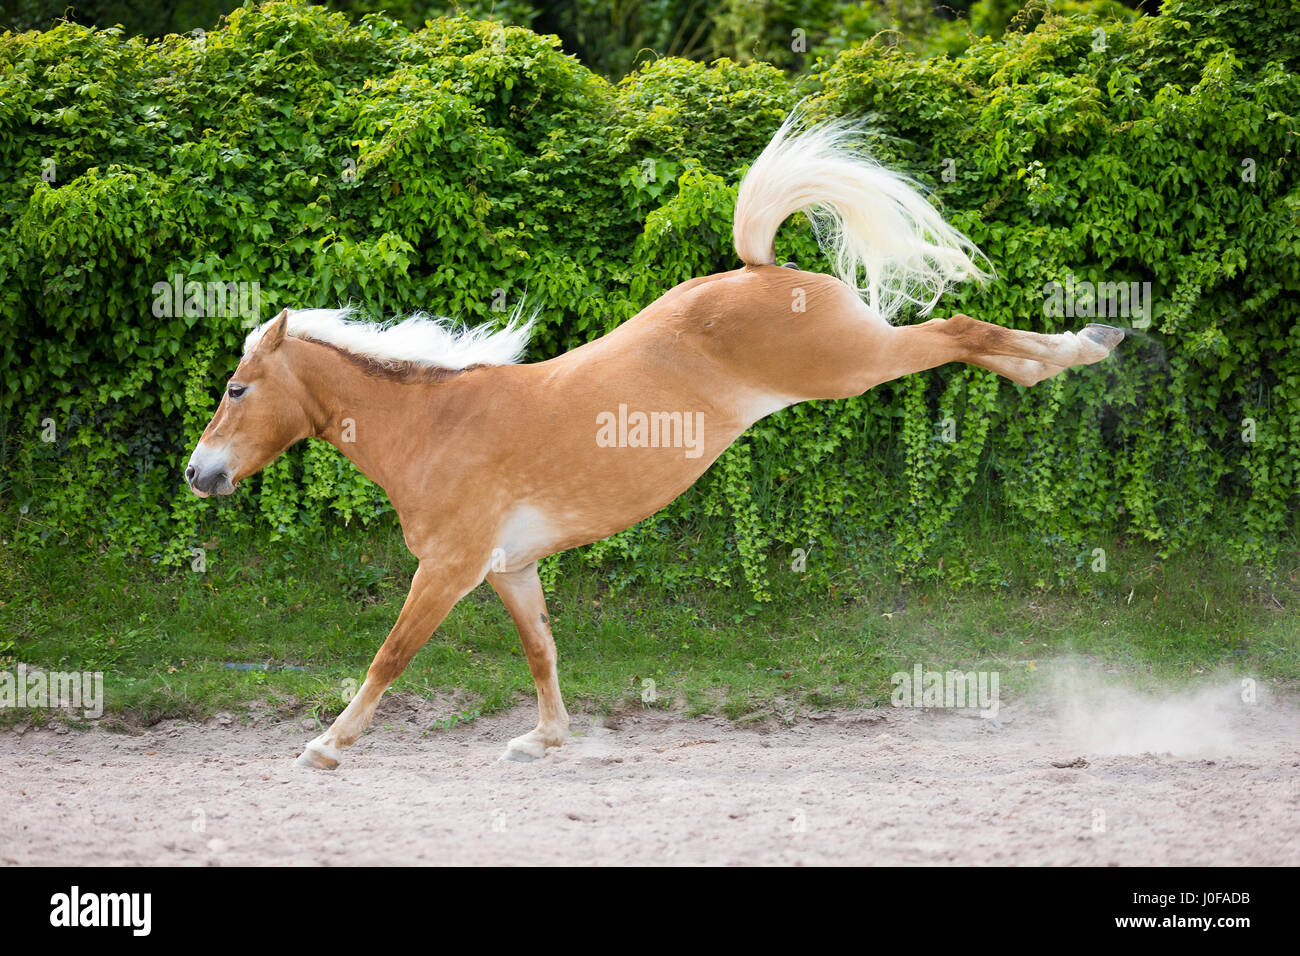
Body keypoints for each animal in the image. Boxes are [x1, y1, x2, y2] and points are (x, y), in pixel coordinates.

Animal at [185, 115, 1128, 770]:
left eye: (236, 390)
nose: (199, 474)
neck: (437, 425)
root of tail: (764, 271)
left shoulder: (448, 570)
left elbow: (389, 656)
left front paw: (326, 746)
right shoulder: (510, 568)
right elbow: (542, 651)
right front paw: (544, 741)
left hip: (854, 365)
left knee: (959, 330)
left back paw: (1083, 347)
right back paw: (1070, 357)